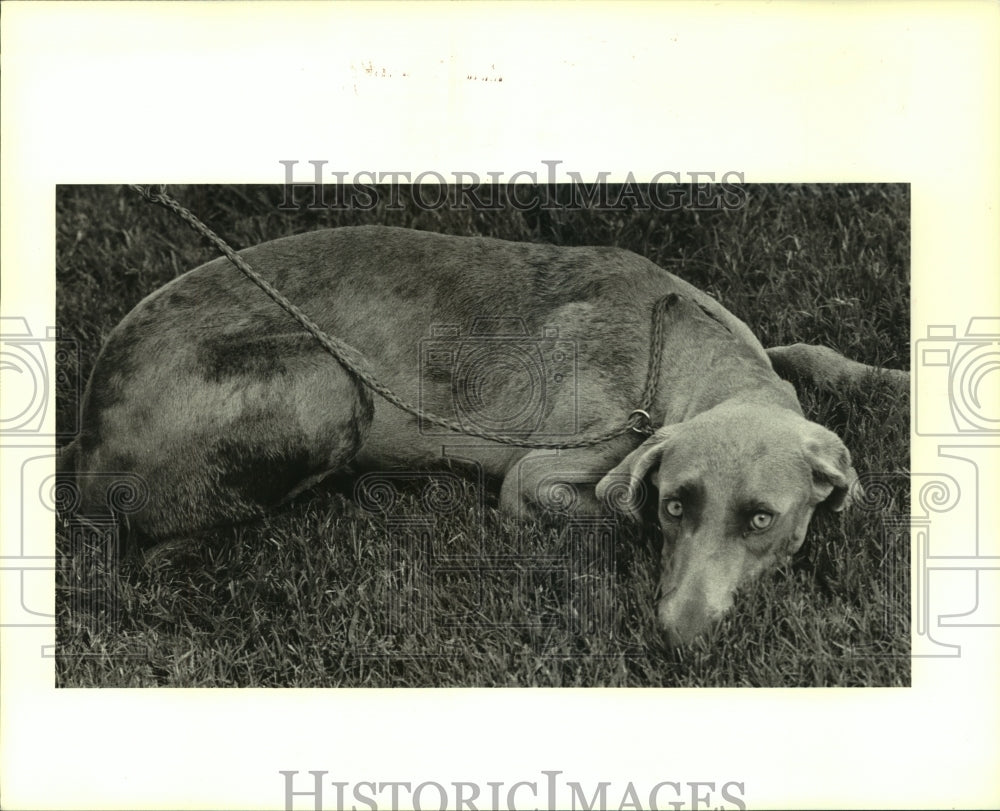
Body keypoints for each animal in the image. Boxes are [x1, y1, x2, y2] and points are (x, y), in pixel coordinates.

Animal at [60, 228, 892, 648]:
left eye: (762, 519)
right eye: (675, 507)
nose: (678, 635)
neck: (684, 348)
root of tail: (86, 433)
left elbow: (814, 351)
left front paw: (893, 376)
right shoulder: (570, 454)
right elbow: (552, 491)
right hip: (330, 382)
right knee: (157, 545)